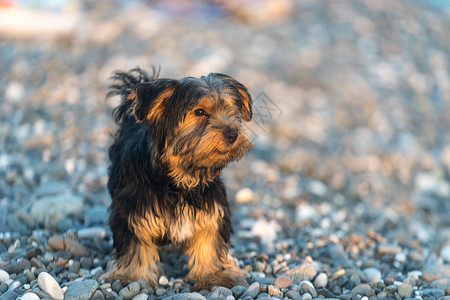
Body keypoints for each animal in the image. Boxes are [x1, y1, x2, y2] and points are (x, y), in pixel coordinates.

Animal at [102, 68, 255, 290]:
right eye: (199, 112)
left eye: (231, 110)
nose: (232, 133)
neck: (182, 177)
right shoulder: (134, 205)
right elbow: (135, 240)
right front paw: (130, 276)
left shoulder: (210, 201)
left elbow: (210, 236)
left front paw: (215, 275)